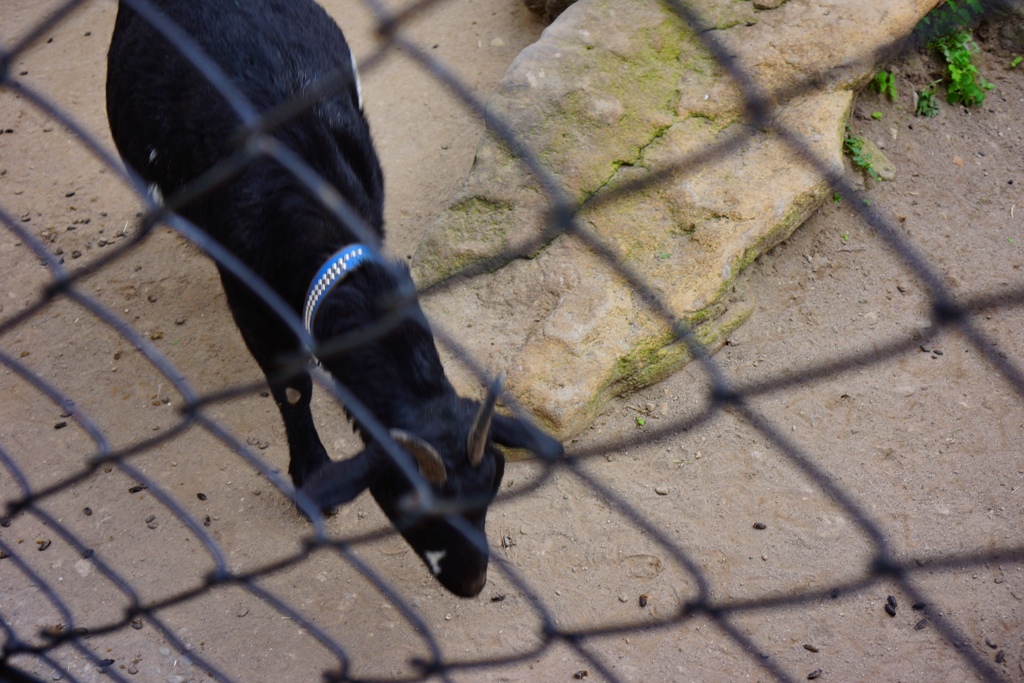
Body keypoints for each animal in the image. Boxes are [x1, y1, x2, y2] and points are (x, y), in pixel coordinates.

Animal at [108, 0, 565, 598]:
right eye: (410, 506)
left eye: (493, 485)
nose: (470, 582)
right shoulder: (249, 295)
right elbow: (291, 386)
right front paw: (309, 473)